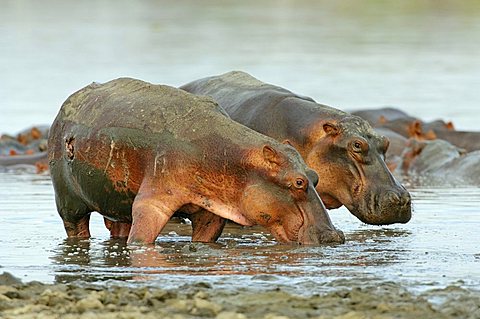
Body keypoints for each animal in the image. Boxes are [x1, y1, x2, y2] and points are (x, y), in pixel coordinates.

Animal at [48, 77, 344, 245]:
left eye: (315, 176)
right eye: (298, 182)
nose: (334, 236)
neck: (236, 160)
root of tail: (68, 101)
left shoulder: (211, 211)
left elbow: (206, 236)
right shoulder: (154, 197)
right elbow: (142, 237)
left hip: (115, 201)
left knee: (119, 225)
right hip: (68, 200)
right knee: (76, 226)